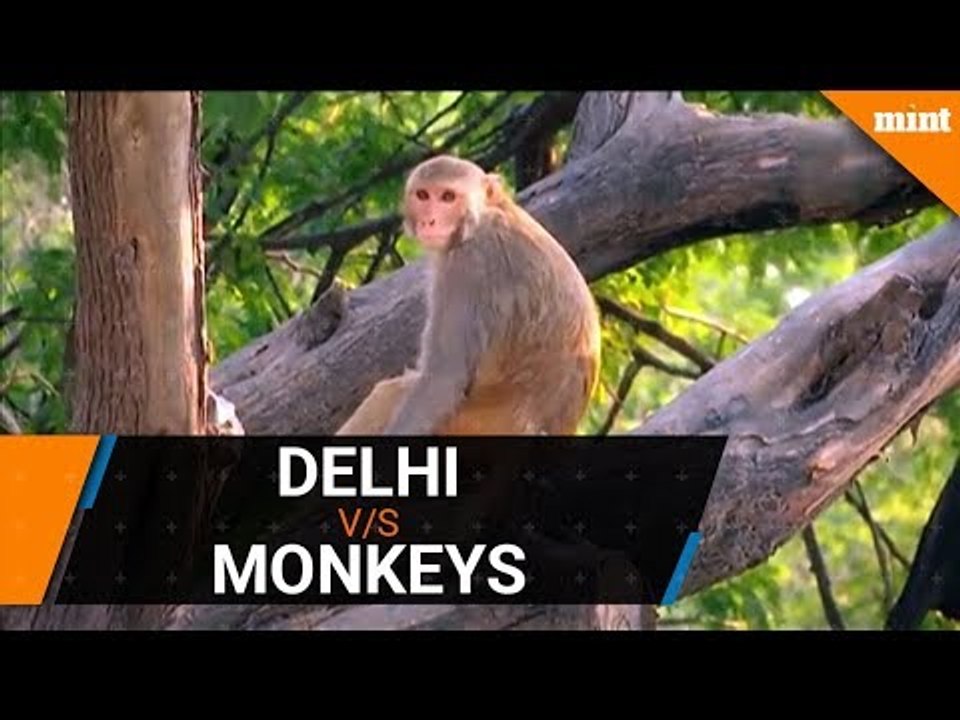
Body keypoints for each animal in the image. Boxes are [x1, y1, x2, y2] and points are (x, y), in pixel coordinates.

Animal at [337, 155, 601, 436]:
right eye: (423, 195)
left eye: (448, 197)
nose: (429, 221)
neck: (484, 217)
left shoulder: (469, 264)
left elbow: (443, 379)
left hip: (474, 425)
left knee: (393, 392)